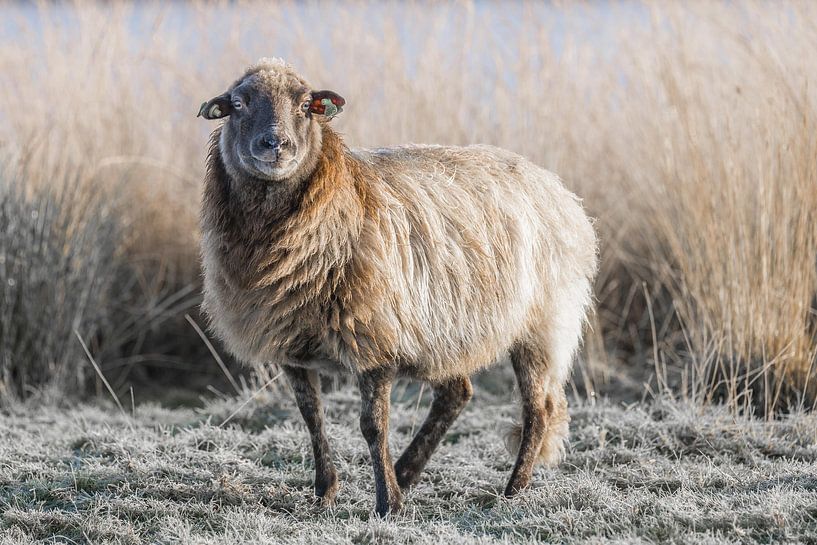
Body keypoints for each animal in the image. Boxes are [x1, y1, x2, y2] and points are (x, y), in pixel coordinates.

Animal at [198, 58, 598, 516]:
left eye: (305, 105)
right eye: (238, 104)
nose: (275, 145)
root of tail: (560, 191)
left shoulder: (374, 339)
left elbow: (373, 425)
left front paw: (386, 503)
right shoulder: (291, 344)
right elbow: (311, 416)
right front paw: (326, 491)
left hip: (543, 323)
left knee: (539, 409)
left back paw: (512, 490)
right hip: (448, 328)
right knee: (457, 393)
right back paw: (407, 472)